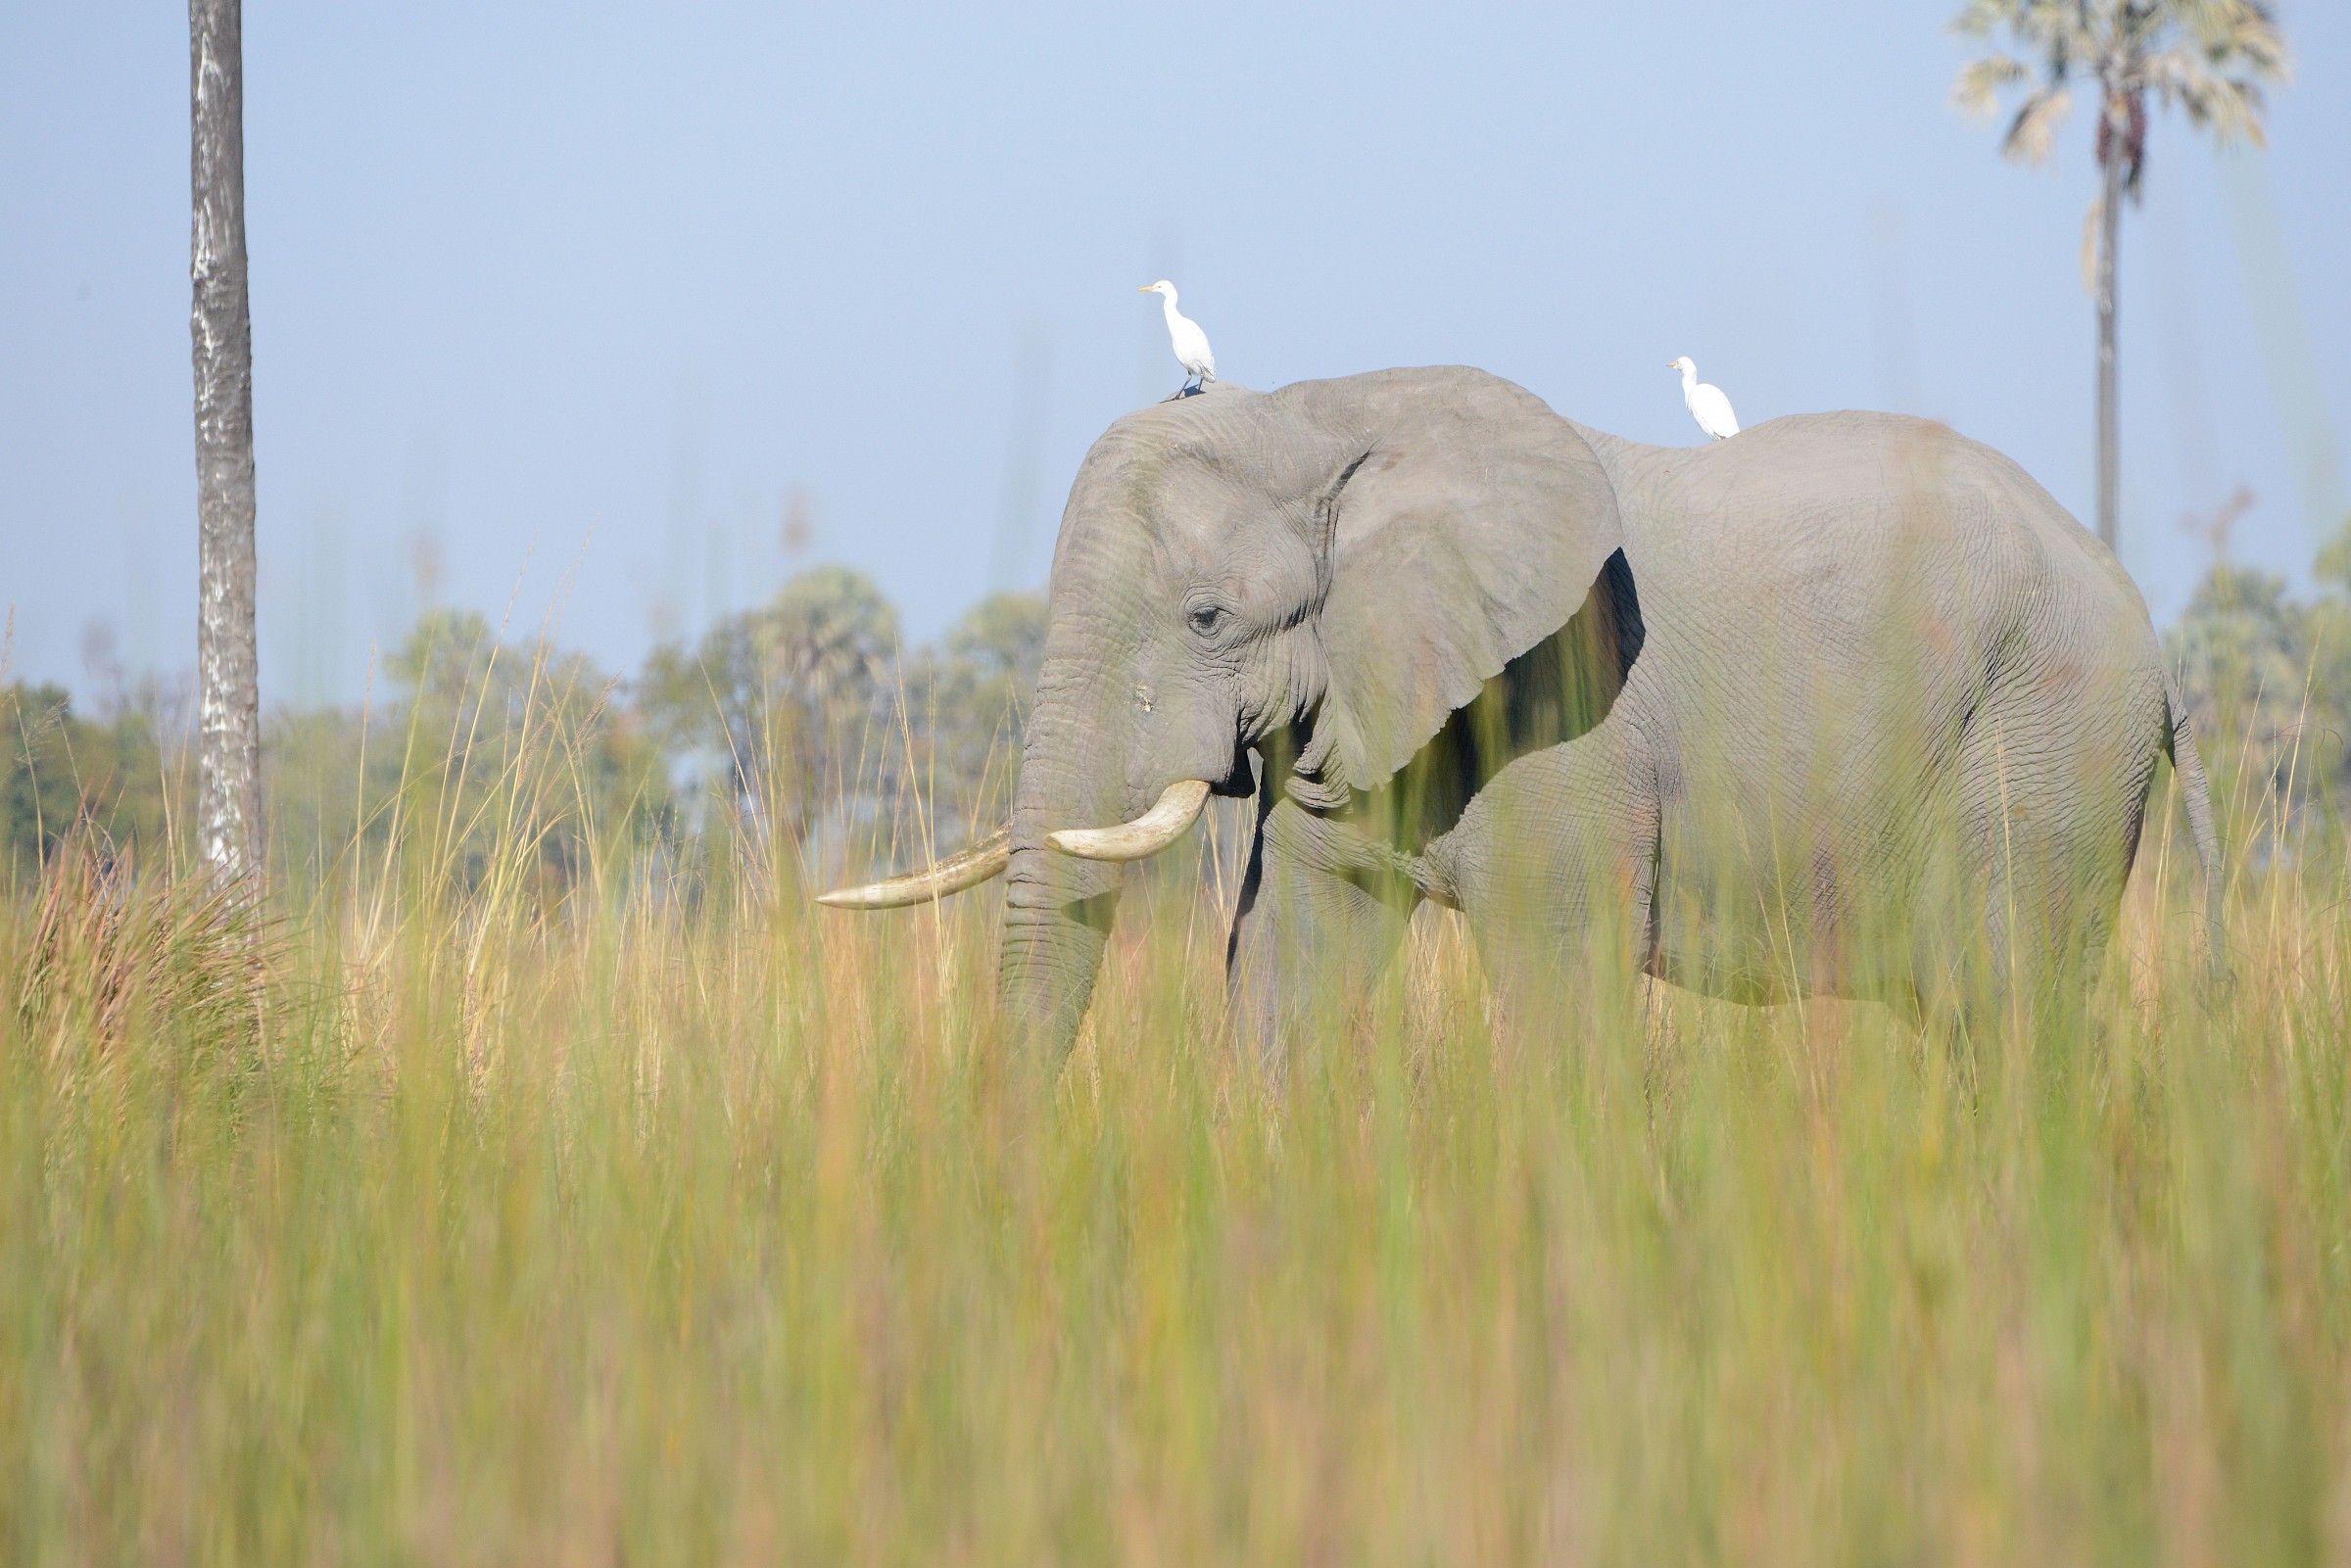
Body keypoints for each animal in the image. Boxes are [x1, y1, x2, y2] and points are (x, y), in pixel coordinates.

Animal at [822, 366, 2222, 1061]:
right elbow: (1285, 965)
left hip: (2045, 745)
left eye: (1208, 618)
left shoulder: (1571, 707)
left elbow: (1563, 990)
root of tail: (2155, 645)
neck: (1332, 418)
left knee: (2014, 1006)